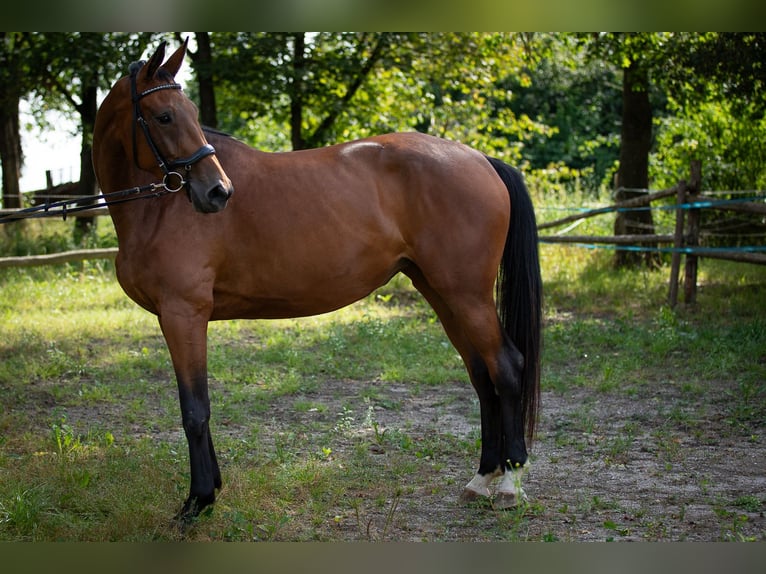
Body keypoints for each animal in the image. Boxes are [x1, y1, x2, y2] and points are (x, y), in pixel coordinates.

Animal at [93, 40, 544, 524]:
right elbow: (201, 406)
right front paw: (211, 490)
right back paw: (482, 478)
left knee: (506, 368)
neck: (158, 207)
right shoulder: (182, 317)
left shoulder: (183, 314)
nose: (218, 192)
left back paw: (511, 484)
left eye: (190, 113)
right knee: (481, 374)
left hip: (468, 295)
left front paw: (197, 502)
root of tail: (480, 159)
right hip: (443, 293)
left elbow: (195, 410)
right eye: (164, 116)